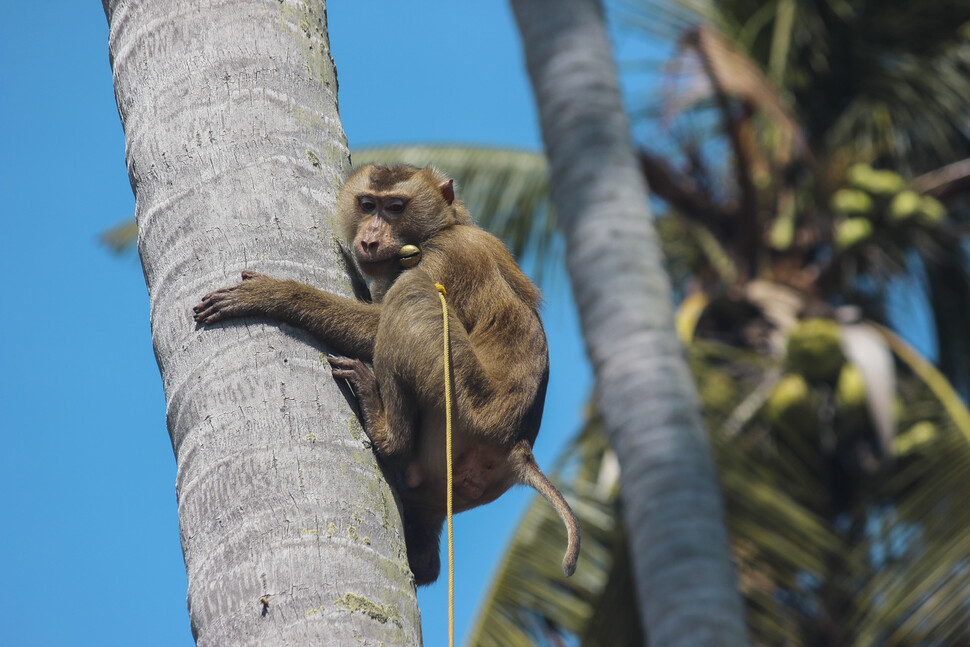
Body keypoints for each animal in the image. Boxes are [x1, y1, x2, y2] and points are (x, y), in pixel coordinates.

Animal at [193, 163, 580, 588]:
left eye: (395, 207)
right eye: (367, 205)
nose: (370, 238)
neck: (441, 229)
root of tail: (517, 446)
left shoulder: (450, 255)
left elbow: (377, 325)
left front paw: (272, 294)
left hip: (465, 400)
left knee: (410, 296)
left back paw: (387, 433)